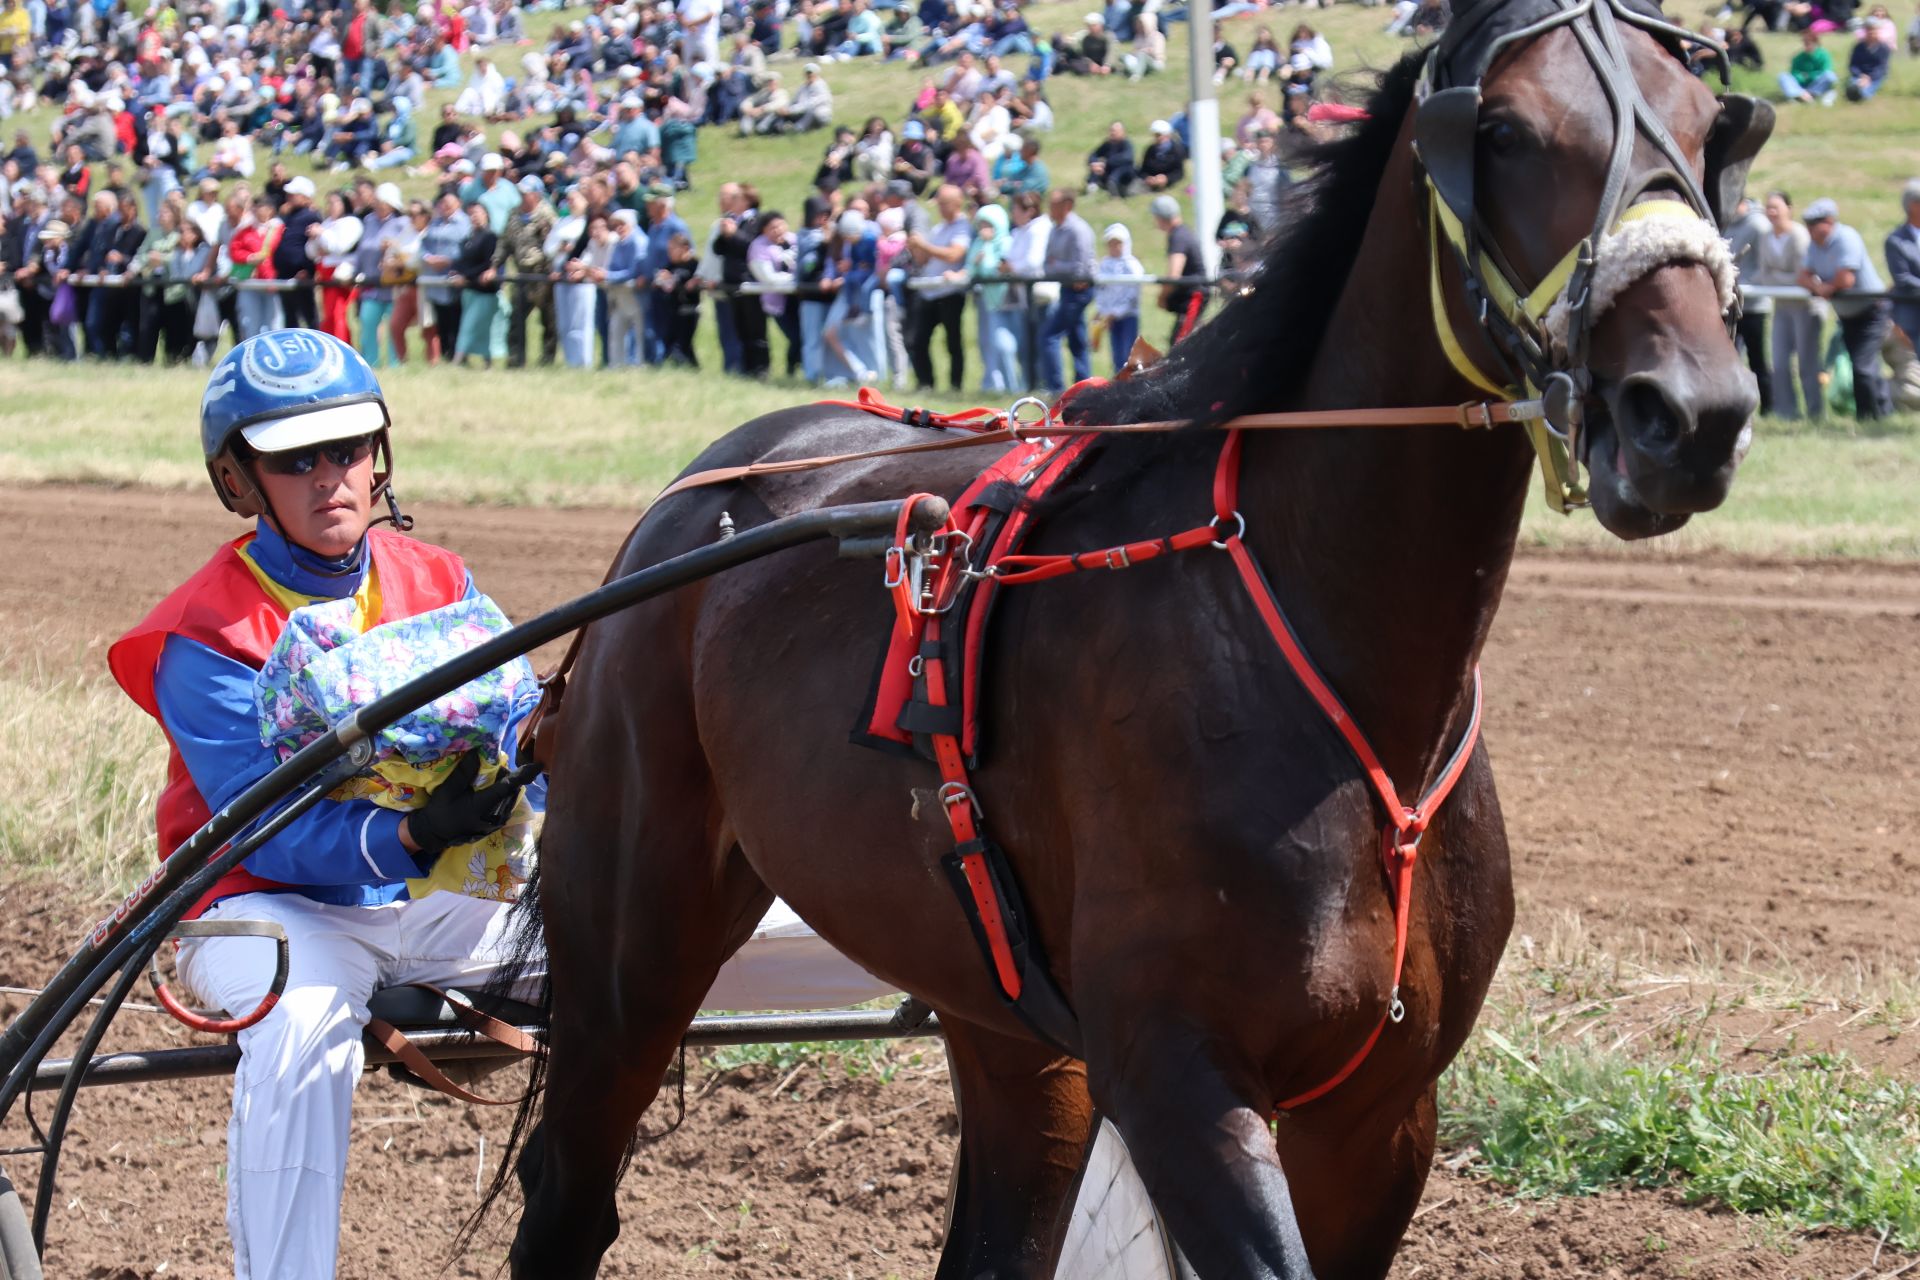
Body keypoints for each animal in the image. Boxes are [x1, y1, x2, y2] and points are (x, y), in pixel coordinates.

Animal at [495, 2, 1766, 1274]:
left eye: (1714, 125)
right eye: (1501, 131)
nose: (1689, 411)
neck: (1335, 655)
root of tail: (697, 492)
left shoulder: (1383, 1109)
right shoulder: (1179, 1077)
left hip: (1002, 1010)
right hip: (633, 952)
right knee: (570, 1193)